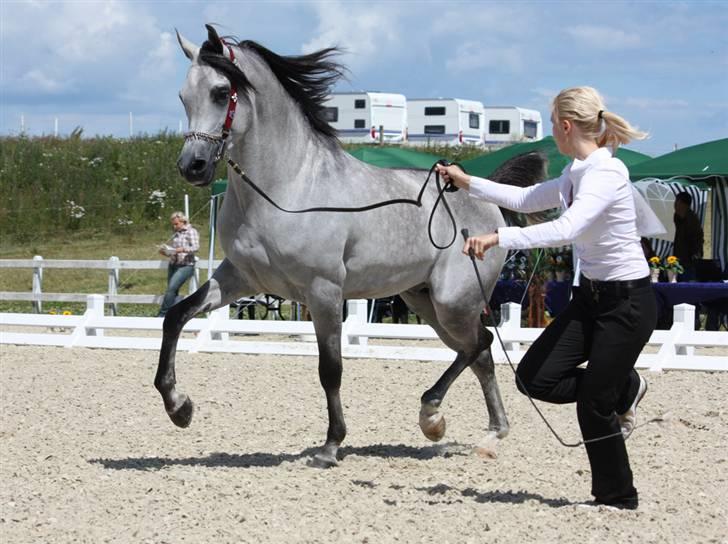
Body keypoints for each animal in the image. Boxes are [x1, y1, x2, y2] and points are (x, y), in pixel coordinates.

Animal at [159, 25, 544, 468]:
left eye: (222, 92)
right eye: (182, 96)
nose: (193, 167)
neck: (287, 187)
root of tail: (484, 196)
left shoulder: (324, 290)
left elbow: (331, 368)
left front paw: (330, 446)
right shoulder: (239, 278)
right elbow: (176, 317)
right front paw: (179, 407)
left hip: (453, 301)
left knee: (479, 343)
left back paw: (435, 415)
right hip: (424, 301)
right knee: (477, 352)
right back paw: (485, 431)